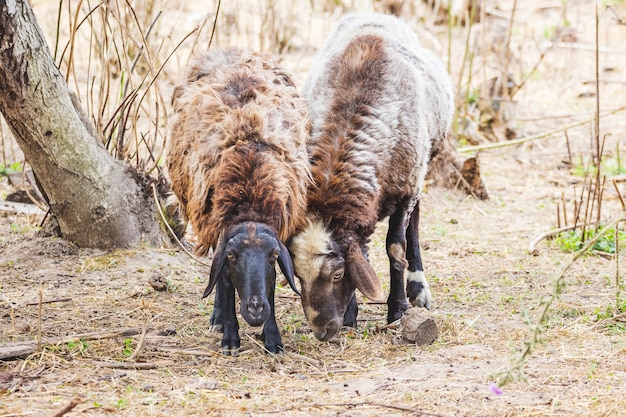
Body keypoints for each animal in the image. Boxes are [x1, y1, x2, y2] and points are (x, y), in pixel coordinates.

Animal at [166, 48, 310, 354]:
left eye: (274, 256)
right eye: (233, 256)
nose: (255, 310)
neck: (250, 198)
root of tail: (228, 50)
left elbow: (271, 287)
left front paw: (272, 338)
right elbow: (223, 278)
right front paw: (230, 336)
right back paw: (220, 319)